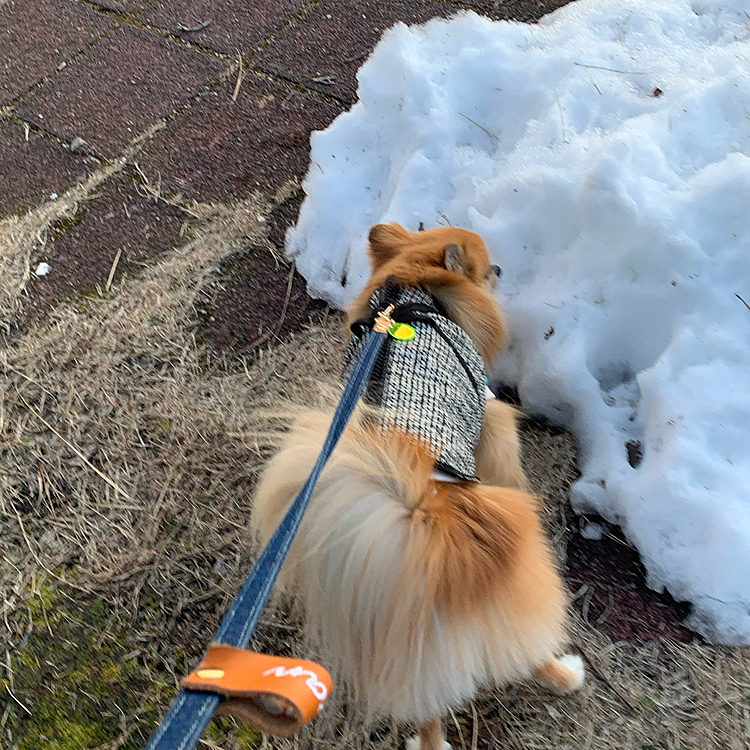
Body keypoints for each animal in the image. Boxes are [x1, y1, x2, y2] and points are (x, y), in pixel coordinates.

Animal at [253, 222, 588, 750]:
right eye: (485, 268)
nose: (500, 268)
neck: (415, 295)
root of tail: (429, 531)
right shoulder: (492, 416)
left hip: (410, 648)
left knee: (429, 710)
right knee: (526, 648)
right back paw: (568, 674)